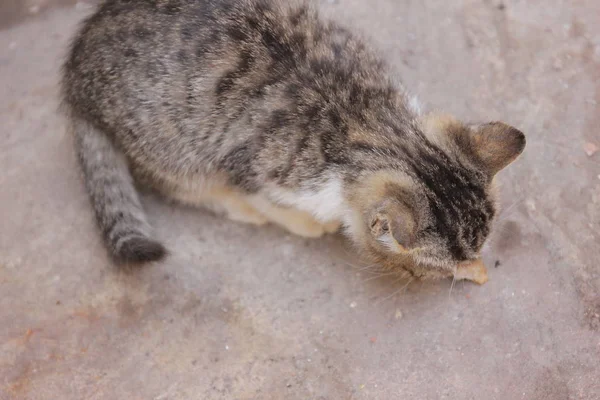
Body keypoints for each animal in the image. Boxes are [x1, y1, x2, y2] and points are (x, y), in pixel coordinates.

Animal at [58, 0, 524, 282]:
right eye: (424, 270)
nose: (470, 267)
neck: (367, 123)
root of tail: (74, 75)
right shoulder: (246, 164)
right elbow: (269, 199)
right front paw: (306, 222)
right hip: (170, 147)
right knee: (176, 185)